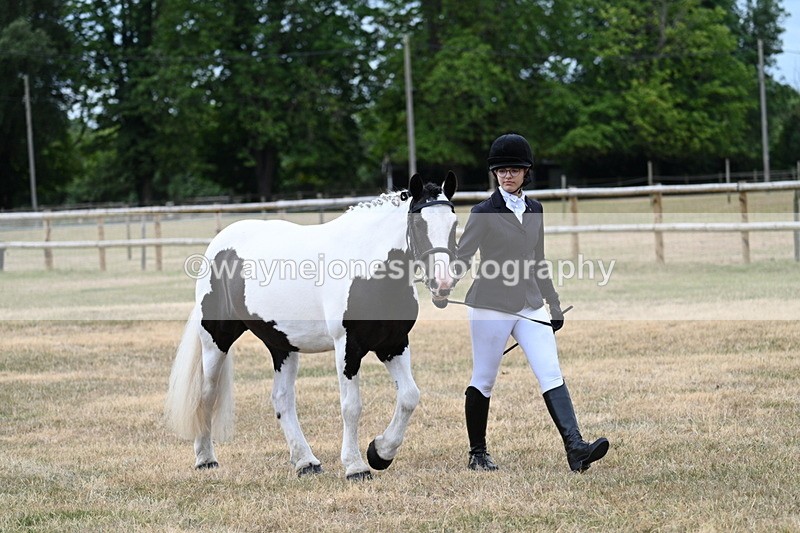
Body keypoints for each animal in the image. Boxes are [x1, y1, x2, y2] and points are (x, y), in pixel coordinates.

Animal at [165, 172, 458, 479]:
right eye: (419, 224)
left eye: (454, 224)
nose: (443, 283)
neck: (367, 268)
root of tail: (218, 244)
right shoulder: (348, 347)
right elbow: (351, 406)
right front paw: (355, 466)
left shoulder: (394, 343)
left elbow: (409, 396)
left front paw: (380, 453)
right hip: (215, 340)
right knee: (206, 394)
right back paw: (205, 458)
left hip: (281, 345)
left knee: (282, 400)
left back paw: (306, 461)